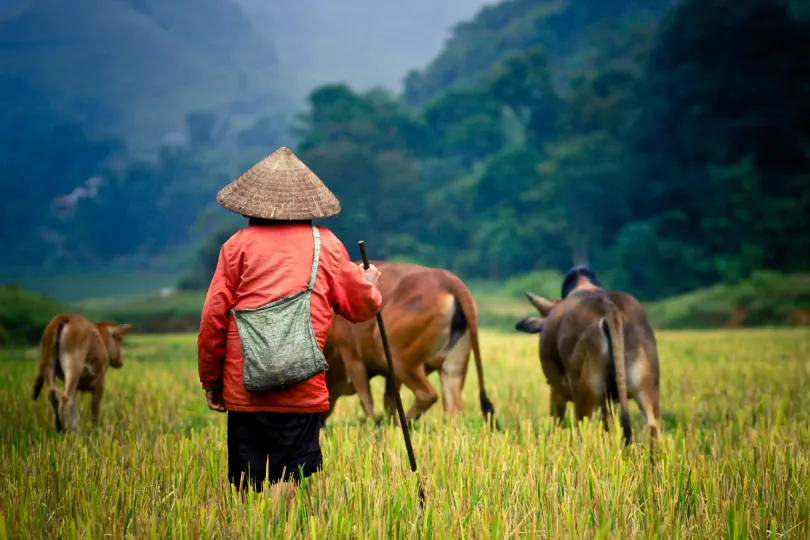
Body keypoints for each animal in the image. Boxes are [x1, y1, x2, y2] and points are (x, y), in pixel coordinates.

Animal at [320, 262, 496, 426]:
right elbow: (389, 401)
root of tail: (449, 281)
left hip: (399, 359)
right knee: (453, 412)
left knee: (427, 395)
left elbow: (366, 399)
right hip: (453, 369)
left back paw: (401, 425)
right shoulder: (390, 375)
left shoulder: (351, 356)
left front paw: (376, 427)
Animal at [516, 264, 660, 452]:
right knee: (652, 428)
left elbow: (556, 423)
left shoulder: (556, 390)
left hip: (584, 395)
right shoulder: (609, 401)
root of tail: (608, 307)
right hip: (645, 388)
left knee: (583, 433)